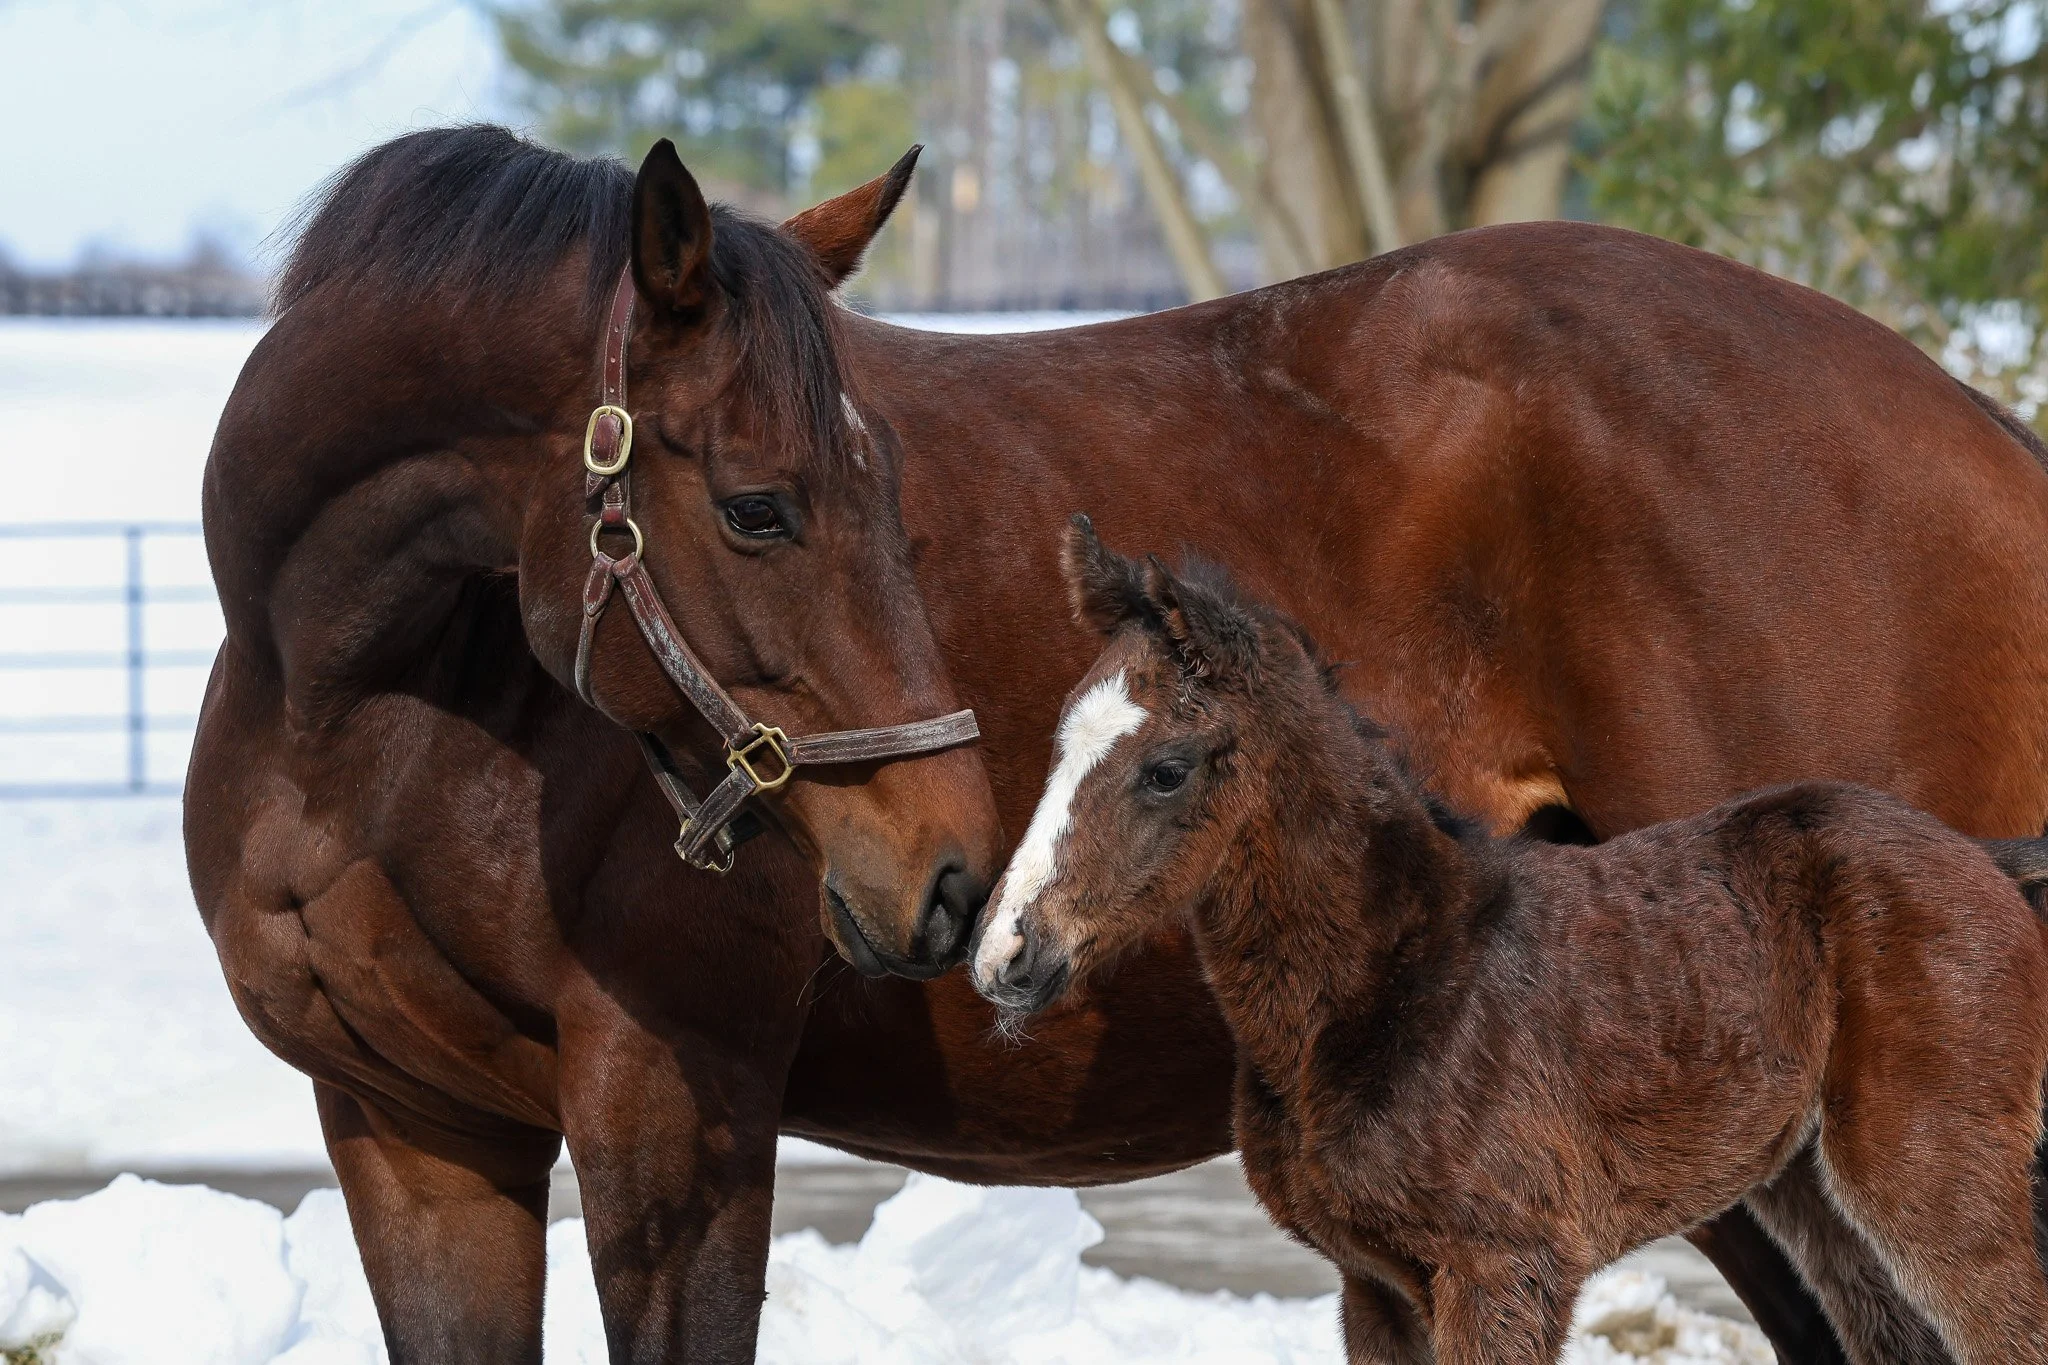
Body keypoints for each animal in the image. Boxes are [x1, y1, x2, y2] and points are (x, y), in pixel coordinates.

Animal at [975, 519, 2048, 1365]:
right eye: (1058, 744)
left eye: (1166, 769)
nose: (1005, 955)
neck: (1396, 976)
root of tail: (1987, 861)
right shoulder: (1374, 1288)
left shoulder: (1502, 1266)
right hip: (1814, 1193)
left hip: (1930, 1173)